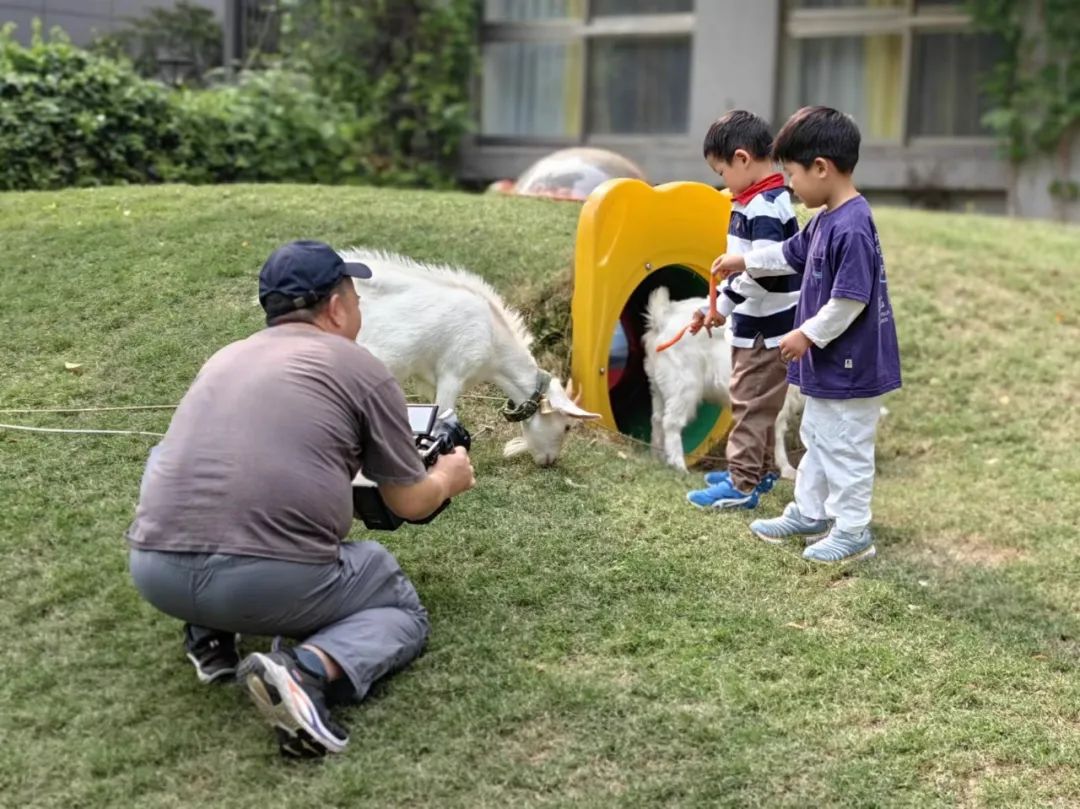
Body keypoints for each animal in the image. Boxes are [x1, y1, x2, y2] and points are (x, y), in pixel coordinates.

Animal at [639, 282, 803, 473]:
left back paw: (656, 458)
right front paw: (786, 469)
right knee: (671, 422)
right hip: (684, 385)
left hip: (659, 386)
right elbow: (776, 430)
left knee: (657, 419)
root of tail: (663, 317)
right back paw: (679, 466)